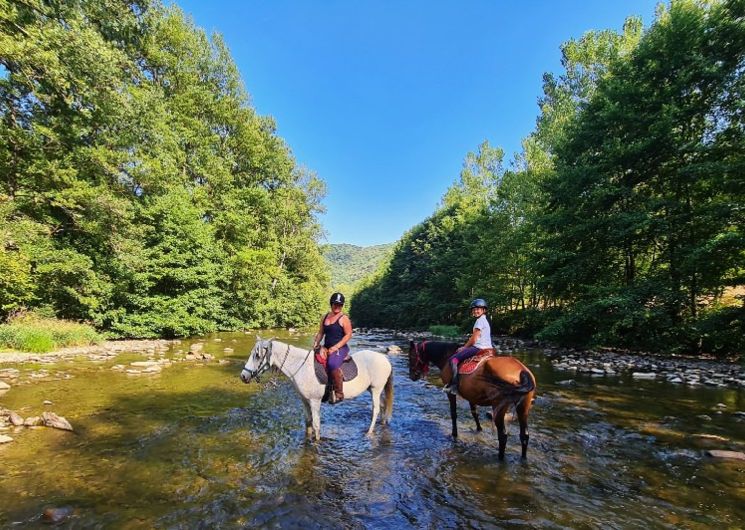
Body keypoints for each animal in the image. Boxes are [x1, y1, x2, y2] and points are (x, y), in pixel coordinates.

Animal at [241, 336, 396, 440]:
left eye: (257, 355)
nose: (243, 376)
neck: (301, 367)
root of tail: (385, 359)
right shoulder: (305, 400)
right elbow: (308, 422)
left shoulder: (315, 401)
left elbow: (316, 426)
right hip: (373, 389)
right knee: (383, 406)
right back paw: (383, 423)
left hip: (376, 389)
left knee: (375, 410)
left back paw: (369, 432)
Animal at [406, 338, 536, 458]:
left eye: (412, 356)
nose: (412, 376)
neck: (447, 356)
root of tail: (521, 371)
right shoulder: (471, 396)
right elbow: (475, 413)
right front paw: (479, 430)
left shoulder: (451, 394)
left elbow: (454, 414)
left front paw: (454, 434)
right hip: (523, 407)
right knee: (524, 435)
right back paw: (523, 459)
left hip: (499, 408)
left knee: (503, 436)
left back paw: (500, 459)